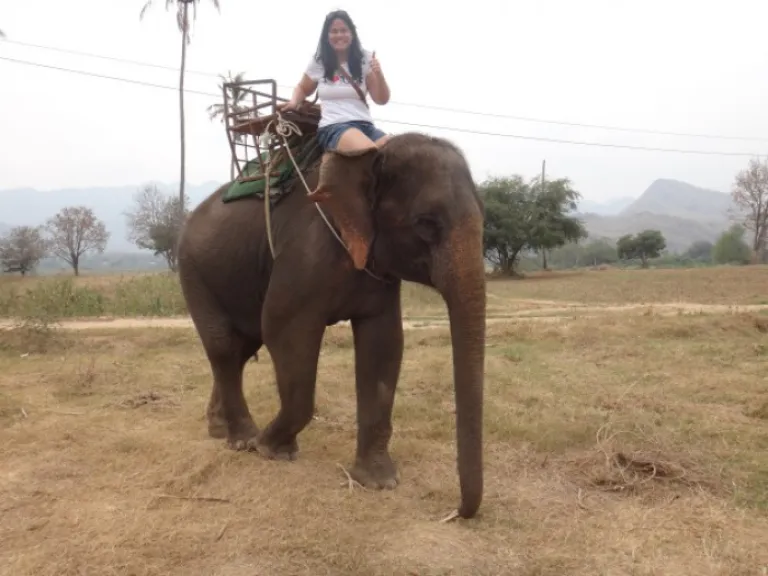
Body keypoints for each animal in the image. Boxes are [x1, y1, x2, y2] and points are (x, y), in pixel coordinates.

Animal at [176, 130, 486, 519]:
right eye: (426, 223)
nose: (458, 512)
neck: (368, 156)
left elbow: (384, 343)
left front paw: (378, 482)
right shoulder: (304, 252)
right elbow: (284, 330)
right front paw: (271, 448)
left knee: (243, 348)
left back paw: (219, 429)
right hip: (193, 271)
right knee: (225, 348)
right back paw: (243, 439)